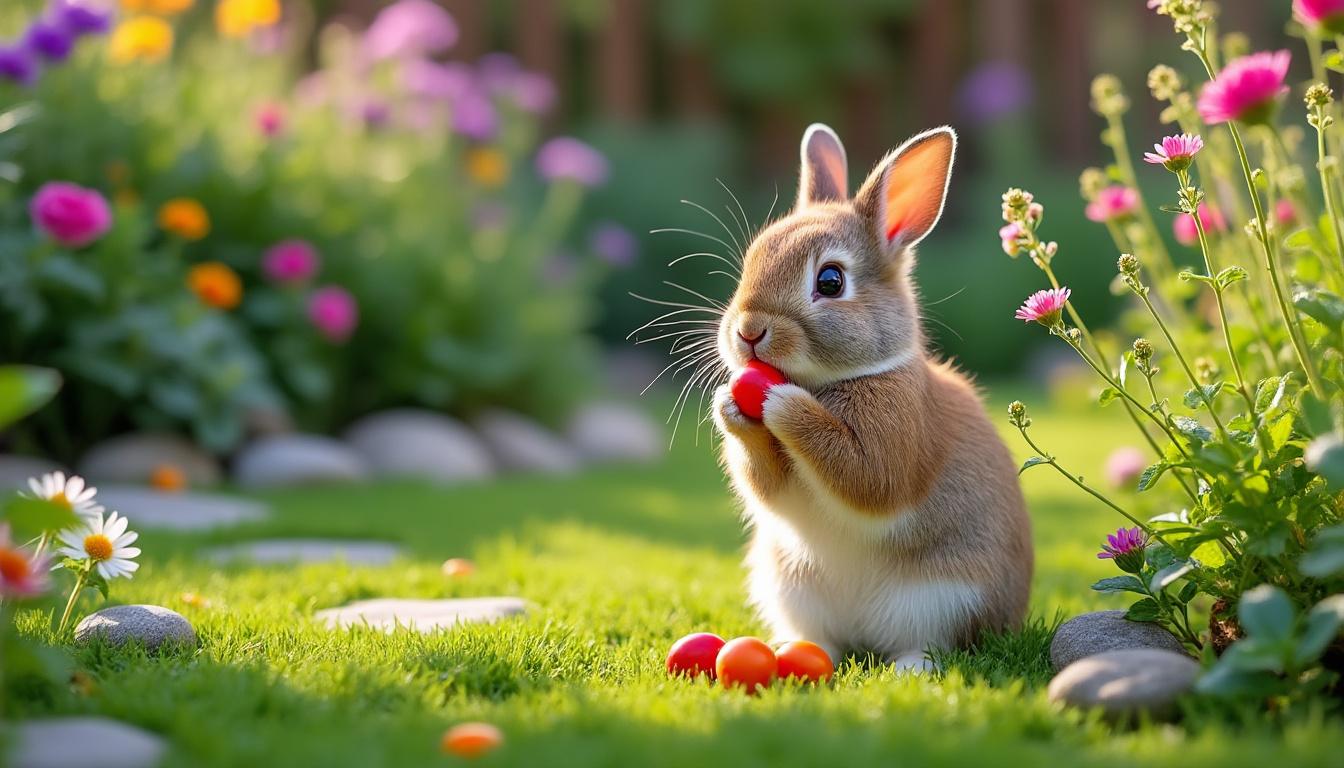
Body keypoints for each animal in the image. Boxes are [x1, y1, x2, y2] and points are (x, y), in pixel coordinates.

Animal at [710, 123, 1033, 670]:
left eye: (830, 281)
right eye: (752, 260)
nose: (748, 331)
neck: (832, 379)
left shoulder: (890, 443)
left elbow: (864, 478)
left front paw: (782, 404)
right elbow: (767, 485)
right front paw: (730, 407)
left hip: (947, 596)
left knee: (933, 643)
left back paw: (909, 669)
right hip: (790, 587)